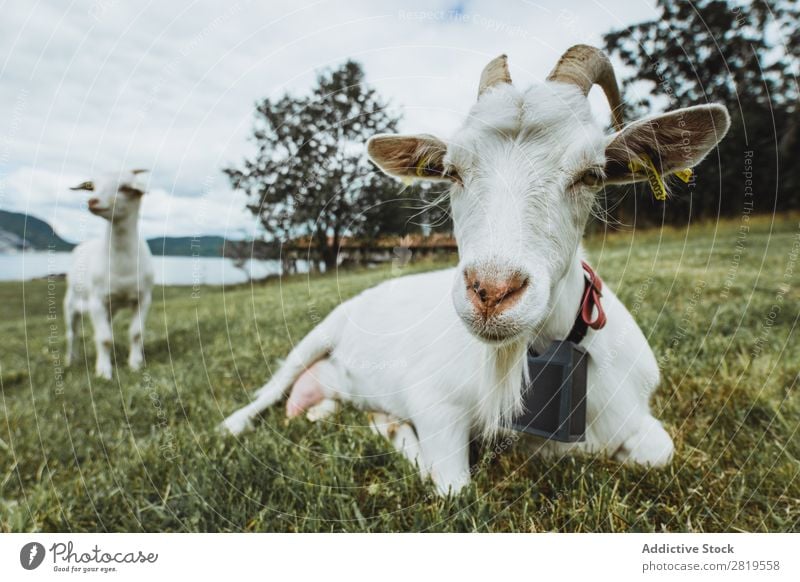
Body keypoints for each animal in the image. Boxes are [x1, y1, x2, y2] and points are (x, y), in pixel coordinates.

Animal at [64, 170, 155, 378]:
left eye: (126, 188)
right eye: (93, 187)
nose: (93, 201)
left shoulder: (144, 297)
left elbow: (136, 333)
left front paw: (135, 363)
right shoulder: (96, 301)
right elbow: (104, 338)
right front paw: (104, 371)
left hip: (109, 308)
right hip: (71, 302)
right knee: (73, 333)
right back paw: (70, 360)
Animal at [220, 45, 732, 498]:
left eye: (591, 174)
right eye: (451, 171)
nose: (492, 291)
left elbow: (661, 451)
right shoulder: (434, 401)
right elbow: (453, 489)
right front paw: (401, 436)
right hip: (321, 331)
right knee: (274, 385)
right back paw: (233, 425)